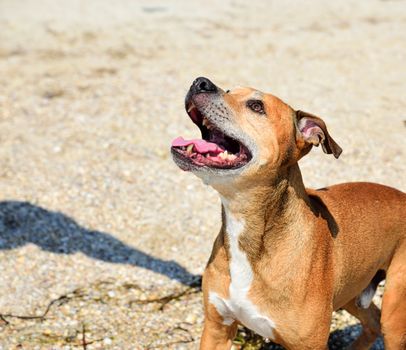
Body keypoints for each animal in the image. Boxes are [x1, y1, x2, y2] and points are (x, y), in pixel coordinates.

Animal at [170, 77, 404, 350]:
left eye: (256, 106)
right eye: (229, 90)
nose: (200, 82)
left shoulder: (308, 344)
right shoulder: (217, 328)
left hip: (395, 312)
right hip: (352, 291)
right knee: (372, 322)